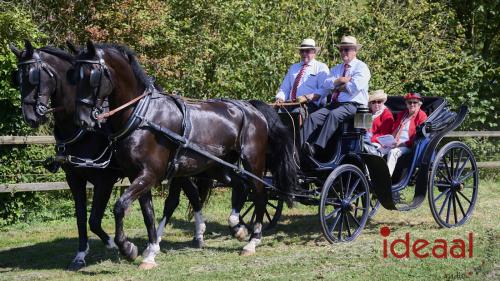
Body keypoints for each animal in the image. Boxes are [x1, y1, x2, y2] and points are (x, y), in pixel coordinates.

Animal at [71, 41, 296, 266]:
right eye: (73, 75)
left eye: (92, 74)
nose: (82, 120)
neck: (143, 115)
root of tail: (251, 108)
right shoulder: (138, 176)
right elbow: (148, 214)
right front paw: (150, 252)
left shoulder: (149, 174)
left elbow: (120, 206)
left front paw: (128, 248)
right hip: (218, 166)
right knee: (240, 185)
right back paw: (237, 227)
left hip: (253, 162)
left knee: (260, 194)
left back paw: (253, 240)